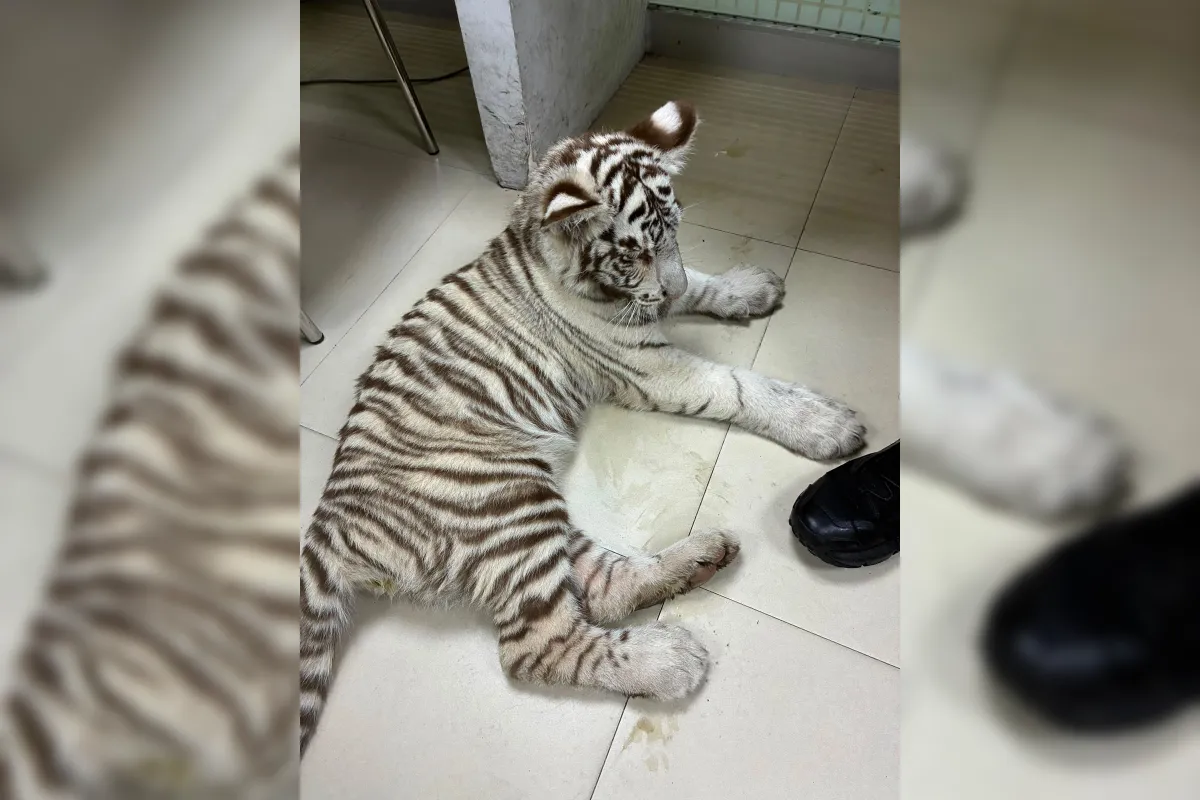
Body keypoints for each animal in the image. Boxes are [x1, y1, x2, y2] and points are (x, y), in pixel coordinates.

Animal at [300, 100, 867, 755]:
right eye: (633, 253)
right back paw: (671, 660)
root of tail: (330, 518)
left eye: (673, 233)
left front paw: (749, 286)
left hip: (516, 517)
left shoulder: (660, 303)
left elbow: (700, 281)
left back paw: (701, 559)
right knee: (537, 647)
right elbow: (736, 385)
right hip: (503, 498)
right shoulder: (650, 364)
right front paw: (823, 421)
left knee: (603, 585)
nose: (664, 286)